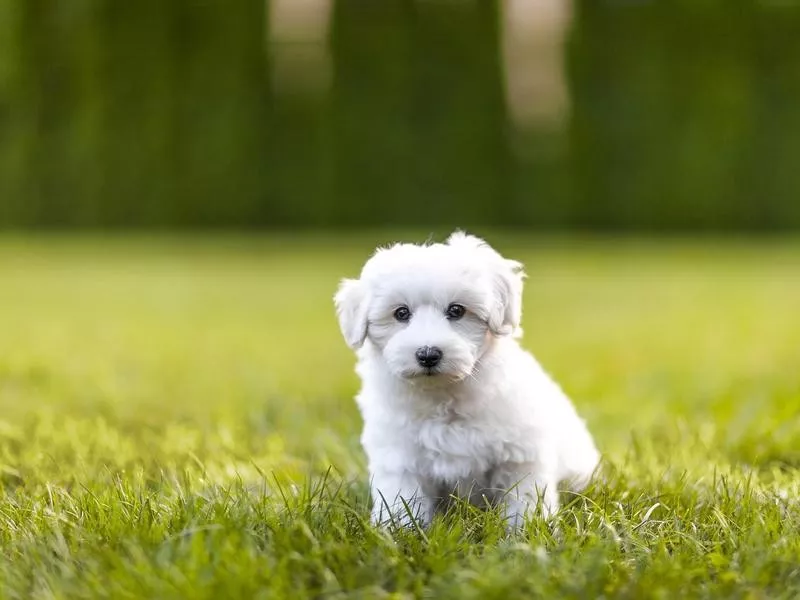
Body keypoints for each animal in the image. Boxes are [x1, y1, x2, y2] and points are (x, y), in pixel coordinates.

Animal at [332, 232, 600, 528]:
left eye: (457, 310)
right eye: (401, 313)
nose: (428, 354)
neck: (444, 395)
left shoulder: (521, 456)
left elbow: (524, 500)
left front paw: (525, 531)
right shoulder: (399, 458)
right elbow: (402, 501)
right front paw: (400, 531)